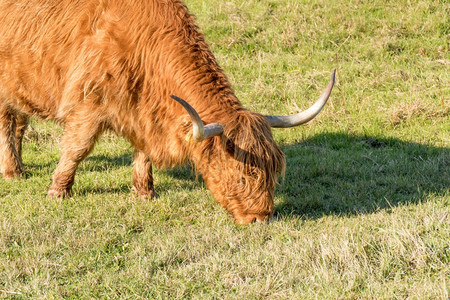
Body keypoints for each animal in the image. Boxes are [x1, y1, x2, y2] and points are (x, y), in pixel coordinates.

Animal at [0, 0, 334, 224]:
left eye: (273, 173)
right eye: (240, 175)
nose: (260, 217)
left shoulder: (146, 113)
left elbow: (144, 153)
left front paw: (145, 192)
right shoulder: (88, 102)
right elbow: (77, 148)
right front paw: (58, 192)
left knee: (19, 123)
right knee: (6, 124)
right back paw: (12, 171)